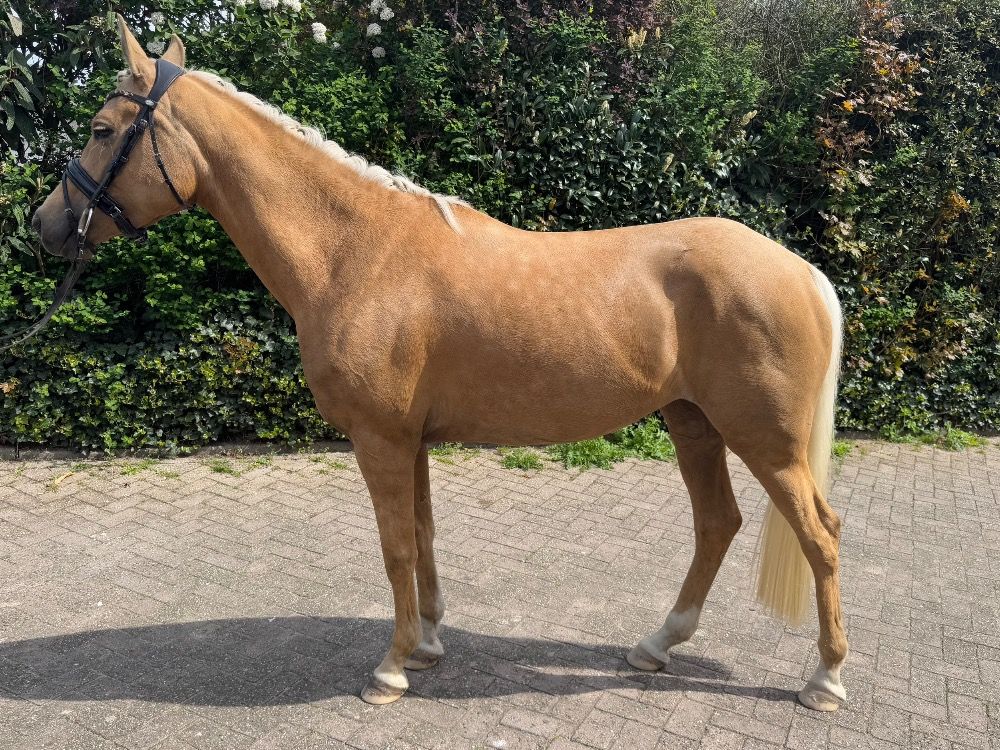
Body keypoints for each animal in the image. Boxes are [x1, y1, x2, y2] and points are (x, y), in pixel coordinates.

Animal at [31, 16, 848, 711]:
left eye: (103, 129)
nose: (44, 225)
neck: (355, 253)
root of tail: (801, 271)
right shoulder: (412, 442)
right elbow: (422, 539)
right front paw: (424, 646)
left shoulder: (380, 440)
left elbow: (395, 548)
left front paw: (390, 671)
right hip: (693, 424)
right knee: (717, 525)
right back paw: (655, 646)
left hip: (763, 440)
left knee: (820, 534)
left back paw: (826, 681)